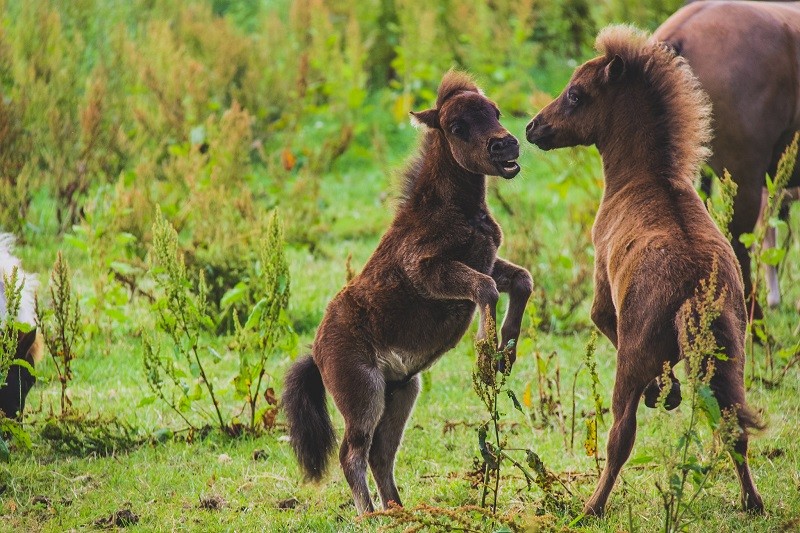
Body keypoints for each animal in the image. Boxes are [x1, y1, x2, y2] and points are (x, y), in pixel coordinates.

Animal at [282, 70, 532, 516]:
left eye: (496, 112)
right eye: (457, 126)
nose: (506, 144)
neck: (456, 209)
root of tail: (316, 352)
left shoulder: (487, 260)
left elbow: (521, 280)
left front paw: (505, 354)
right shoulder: (429, 273)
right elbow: (485, 288)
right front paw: (486, 357)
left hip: (401, 393)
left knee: (381, 454)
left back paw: (399, 510)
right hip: (365, 394)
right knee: (352, 453)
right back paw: (370, 515)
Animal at [528, 26, 764, 516]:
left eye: (576, 94)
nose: (532, 127)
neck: (647, 179)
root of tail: (696, 287)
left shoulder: (605, 303)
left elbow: (605, 325)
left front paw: (664, 393)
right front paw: (670, 393)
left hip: (630, 364)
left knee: (621, 435)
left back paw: (591, 507)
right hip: (732, 357)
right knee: (735, 430)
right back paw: (752, 502)